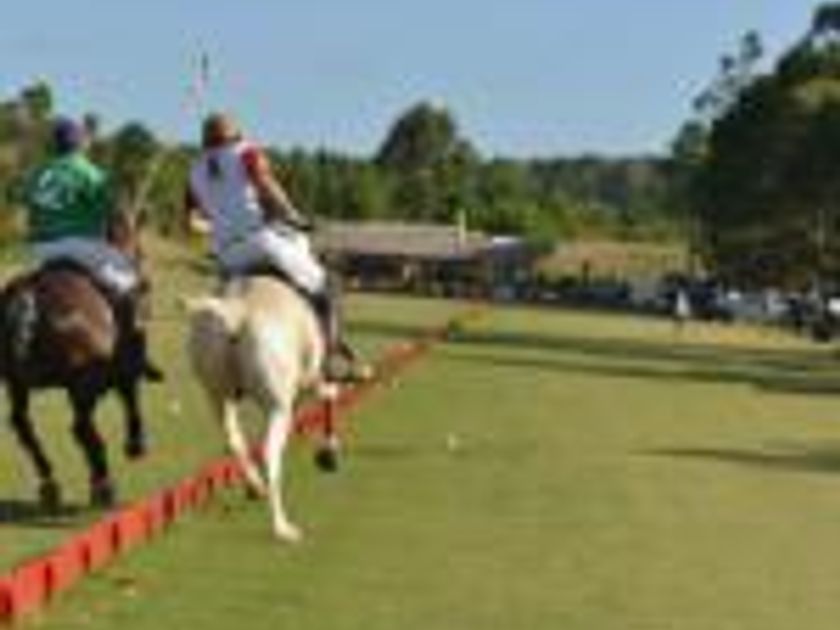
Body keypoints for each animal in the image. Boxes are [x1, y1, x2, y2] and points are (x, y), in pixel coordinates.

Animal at [0, 211, 154, 510]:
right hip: (82, 383)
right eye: (142, 252)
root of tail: (29, 294)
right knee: (81, 427)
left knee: (23, 424)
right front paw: (135, 444)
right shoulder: (114, 369)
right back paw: (104, 485)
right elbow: (130, 395)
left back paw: (51, 483)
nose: (144, 283)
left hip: (17, 381)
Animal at [186, 274, 340, 543]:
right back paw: (282, 527)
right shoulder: (307, 382)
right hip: (277, 407)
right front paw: (329, 451)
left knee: (233, 439)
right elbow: (327, 395)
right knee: (270, 454)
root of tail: (236, 313)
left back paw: (255, 486)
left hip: (217, 394)